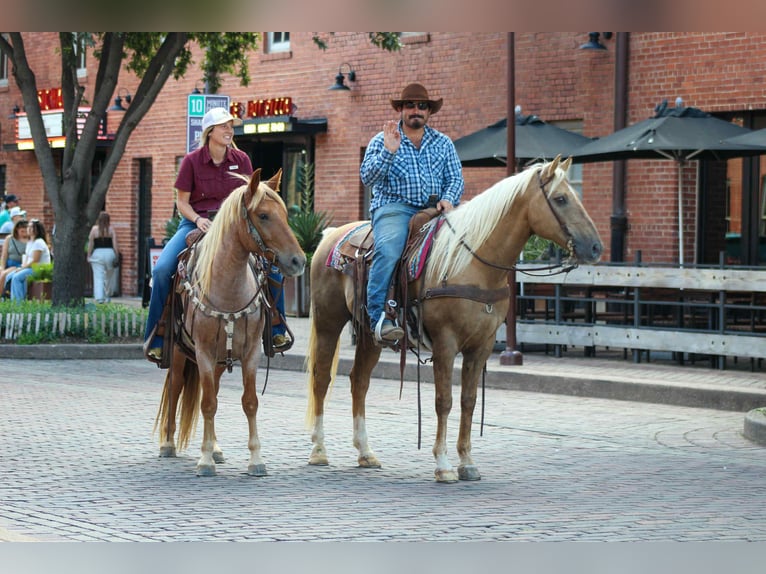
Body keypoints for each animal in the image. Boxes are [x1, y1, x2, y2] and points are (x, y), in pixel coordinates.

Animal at [154, 169, 305, 477]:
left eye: (285, 214)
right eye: (263, 215)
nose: (298, 261)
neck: (228, 289)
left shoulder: (250, 353)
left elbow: (249, 402)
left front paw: (255, 460)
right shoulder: (202, 352)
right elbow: (207, 404)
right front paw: (204, 461)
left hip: (221, 360)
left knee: (211, 390)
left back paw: (216, 447)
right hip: (178, 352)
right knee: (176, 388)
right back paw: (169, 443)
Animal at [305, 156, 603, 482]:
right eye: (560, 199)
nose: (595, 247)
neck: (473, 265)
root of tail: (330, 235)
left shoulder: (482, 346)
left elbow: (468, 401)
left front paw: (467, 462)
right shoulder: (445, 344)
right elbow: (444, 401)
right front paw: (444, 464)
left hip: (371, 335)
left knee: (359, 381)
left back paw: (365, 453)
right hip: (328, 322)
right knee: (321, 378)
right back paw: (318, 450)